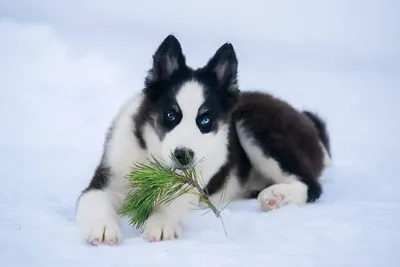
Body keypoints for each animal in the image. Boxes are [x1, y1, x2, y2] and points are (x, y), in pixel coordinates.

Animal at [75, 34, 332, 246]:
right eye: (171, 115)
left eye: (205, 120)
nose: (183, 155)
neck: (152, 155)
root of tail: (305, 118)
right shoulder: (106, 179)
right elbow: (94, 199)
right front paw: (103, 228)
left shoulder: (194, 183)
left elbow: (175, 201)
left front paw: (161, 223)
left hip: (254, 122)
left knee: (312, 185)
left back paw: (276, 196)